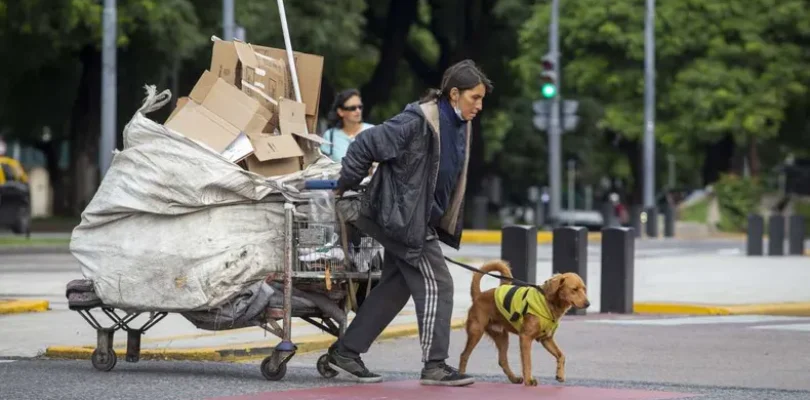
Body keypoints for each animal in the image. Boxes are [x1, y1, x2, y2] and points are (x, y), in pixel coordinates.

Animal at [460, 260, 588, 386]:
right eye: (574, 289)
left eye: (584, 289)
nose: (588, 304)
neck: (548, 302)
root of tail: (479, 295)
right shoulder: (525, 337)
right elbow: (527, 362)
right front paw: (528, 381)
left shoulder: (546, 339)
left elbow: (561, 355)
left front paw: (560, 374)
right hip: (476, 332)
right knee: (464, 355)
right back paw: (461, 375)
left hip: (502, 337)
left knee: (502, 360)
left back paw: (514, 379)